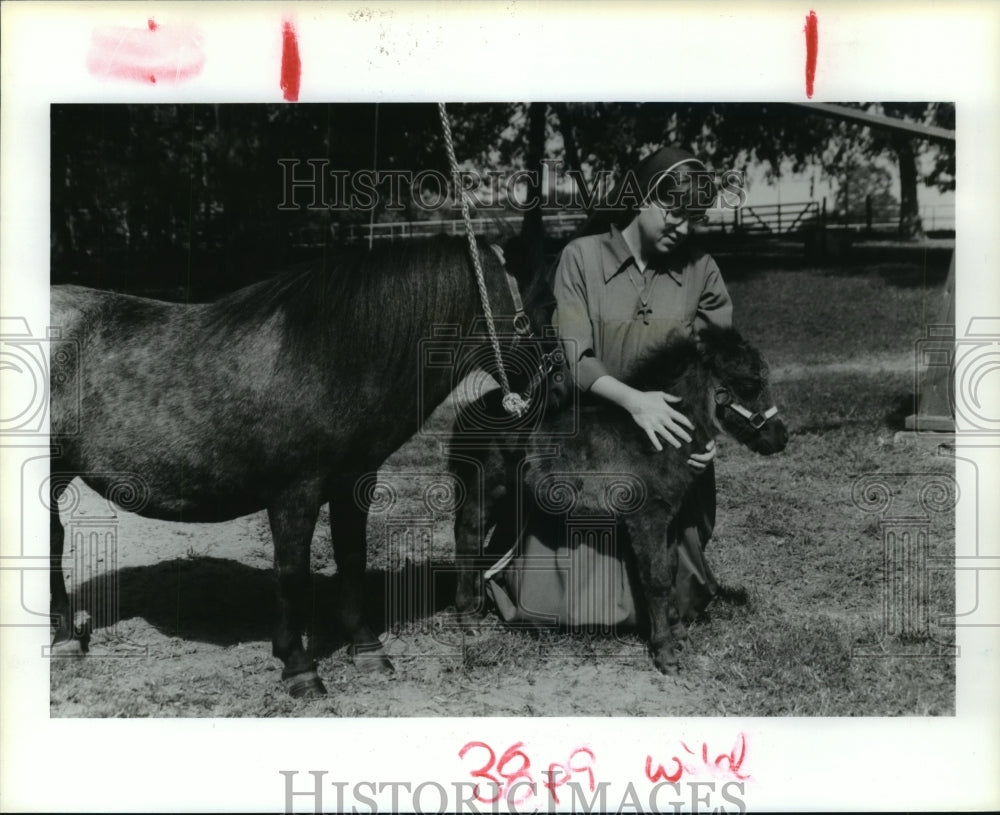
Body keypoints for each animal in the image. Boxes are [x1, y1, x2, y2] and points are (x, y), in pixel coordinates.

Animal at [49, 233, 548, 700]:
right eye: (531, 312)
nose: (547, 380)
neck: (328, 357)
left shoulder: (353, 483)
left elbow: (352, 558)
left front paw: (367, 648)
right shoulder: (294, 492)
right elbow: (291, 574)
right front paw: (298, 667)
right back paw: (64, 642)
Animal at [452, 326, 788, 676]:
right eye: (749, 384)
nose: (781, 438)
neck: (656, 433)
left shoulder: (668, 518)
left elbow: (670, 571)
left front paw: (679, 633)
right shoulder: (647, 517)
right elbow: (655, 579)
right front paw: (665, 652)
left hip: (514, 500)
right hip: (488, 486)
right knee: (468, 535)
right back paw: (468, 617)